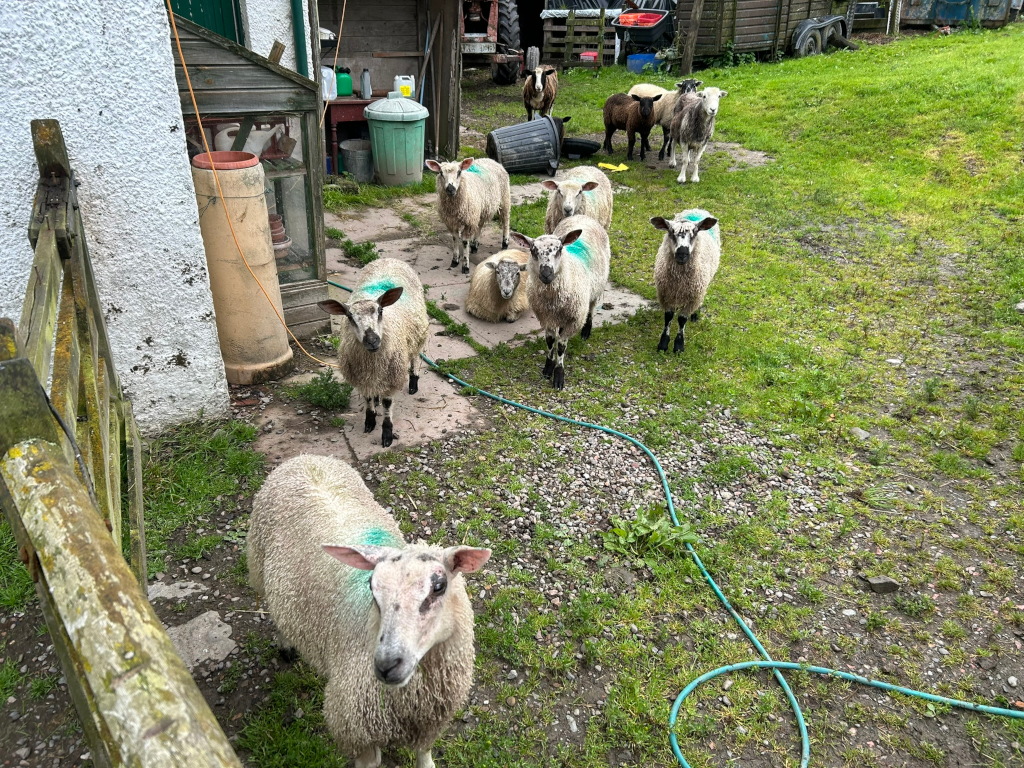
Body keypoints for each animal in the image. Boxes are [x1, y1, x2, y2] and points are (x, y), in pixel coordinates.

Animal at [248, 454, 491, 768]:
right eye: (371, 587)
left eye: (439, 587)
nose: (387, 665)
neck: (414, 696)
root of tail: (304, 457)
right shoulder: (355, 730)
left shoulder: (430, 722)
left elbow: (424, 755)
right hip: (257, 564)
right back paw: (286, 644)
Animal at [317, 258, 428, 448]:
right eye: (349, 317)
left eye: (380, 311)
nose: (372, 340)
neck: (372, 361)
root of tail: (388, 258)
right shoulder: (362, 376)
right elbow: (368, 398)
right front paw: (370, 421)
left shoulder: (391, 376)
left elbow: (387, 403)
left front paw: (387, 434)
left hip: (416, 334)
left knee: (414, 356)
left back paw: (413, 383)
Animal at [510, 215, 610, 389]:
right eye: (533, 251)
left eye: (560, 249)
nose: (546, 273)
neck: (554, 300)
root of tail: (582, 216)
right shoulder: (546, 317)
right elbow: (550, 341)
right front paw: (548, 368)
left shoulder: (574, 319)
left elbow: (562, 346)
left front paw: (559, 374)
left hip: (597, 287)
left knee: (591, 308)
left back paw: (586, 330)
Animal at [650, 209, 720, 353]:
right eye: (671, 232)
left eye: (695, 233)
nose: (682, 254)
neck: (680, 281)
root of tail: (697, 209)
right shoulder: (665, 294)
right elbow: (668, 316)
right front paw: (663, 344)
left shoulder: (693, 296)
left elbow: (682, 319)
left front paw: (678, 346)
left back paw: (695, 314)